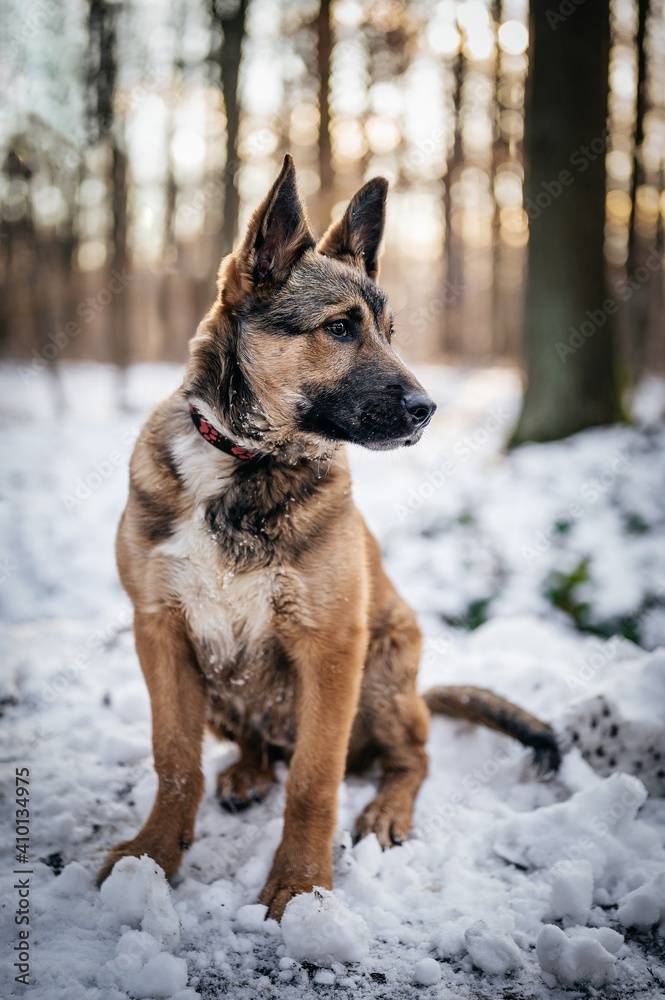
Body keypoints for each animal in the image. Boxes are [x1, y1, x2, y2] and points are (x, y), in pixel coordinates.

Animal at [97, 158, 556, 920]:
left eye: (390, 331)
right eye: (340, 328)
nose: (427, 410)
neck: (246, 464)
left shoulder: (331, 646)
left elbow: (316, 780)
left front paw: (301, 885)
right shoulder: (159, 633)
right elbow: (174, 761)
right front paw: (151, 857)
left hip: (383, 672)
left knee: (411, 758)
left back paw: (385, 811)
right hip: (220, 684)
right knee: (259, 746)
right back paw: (248, 772)